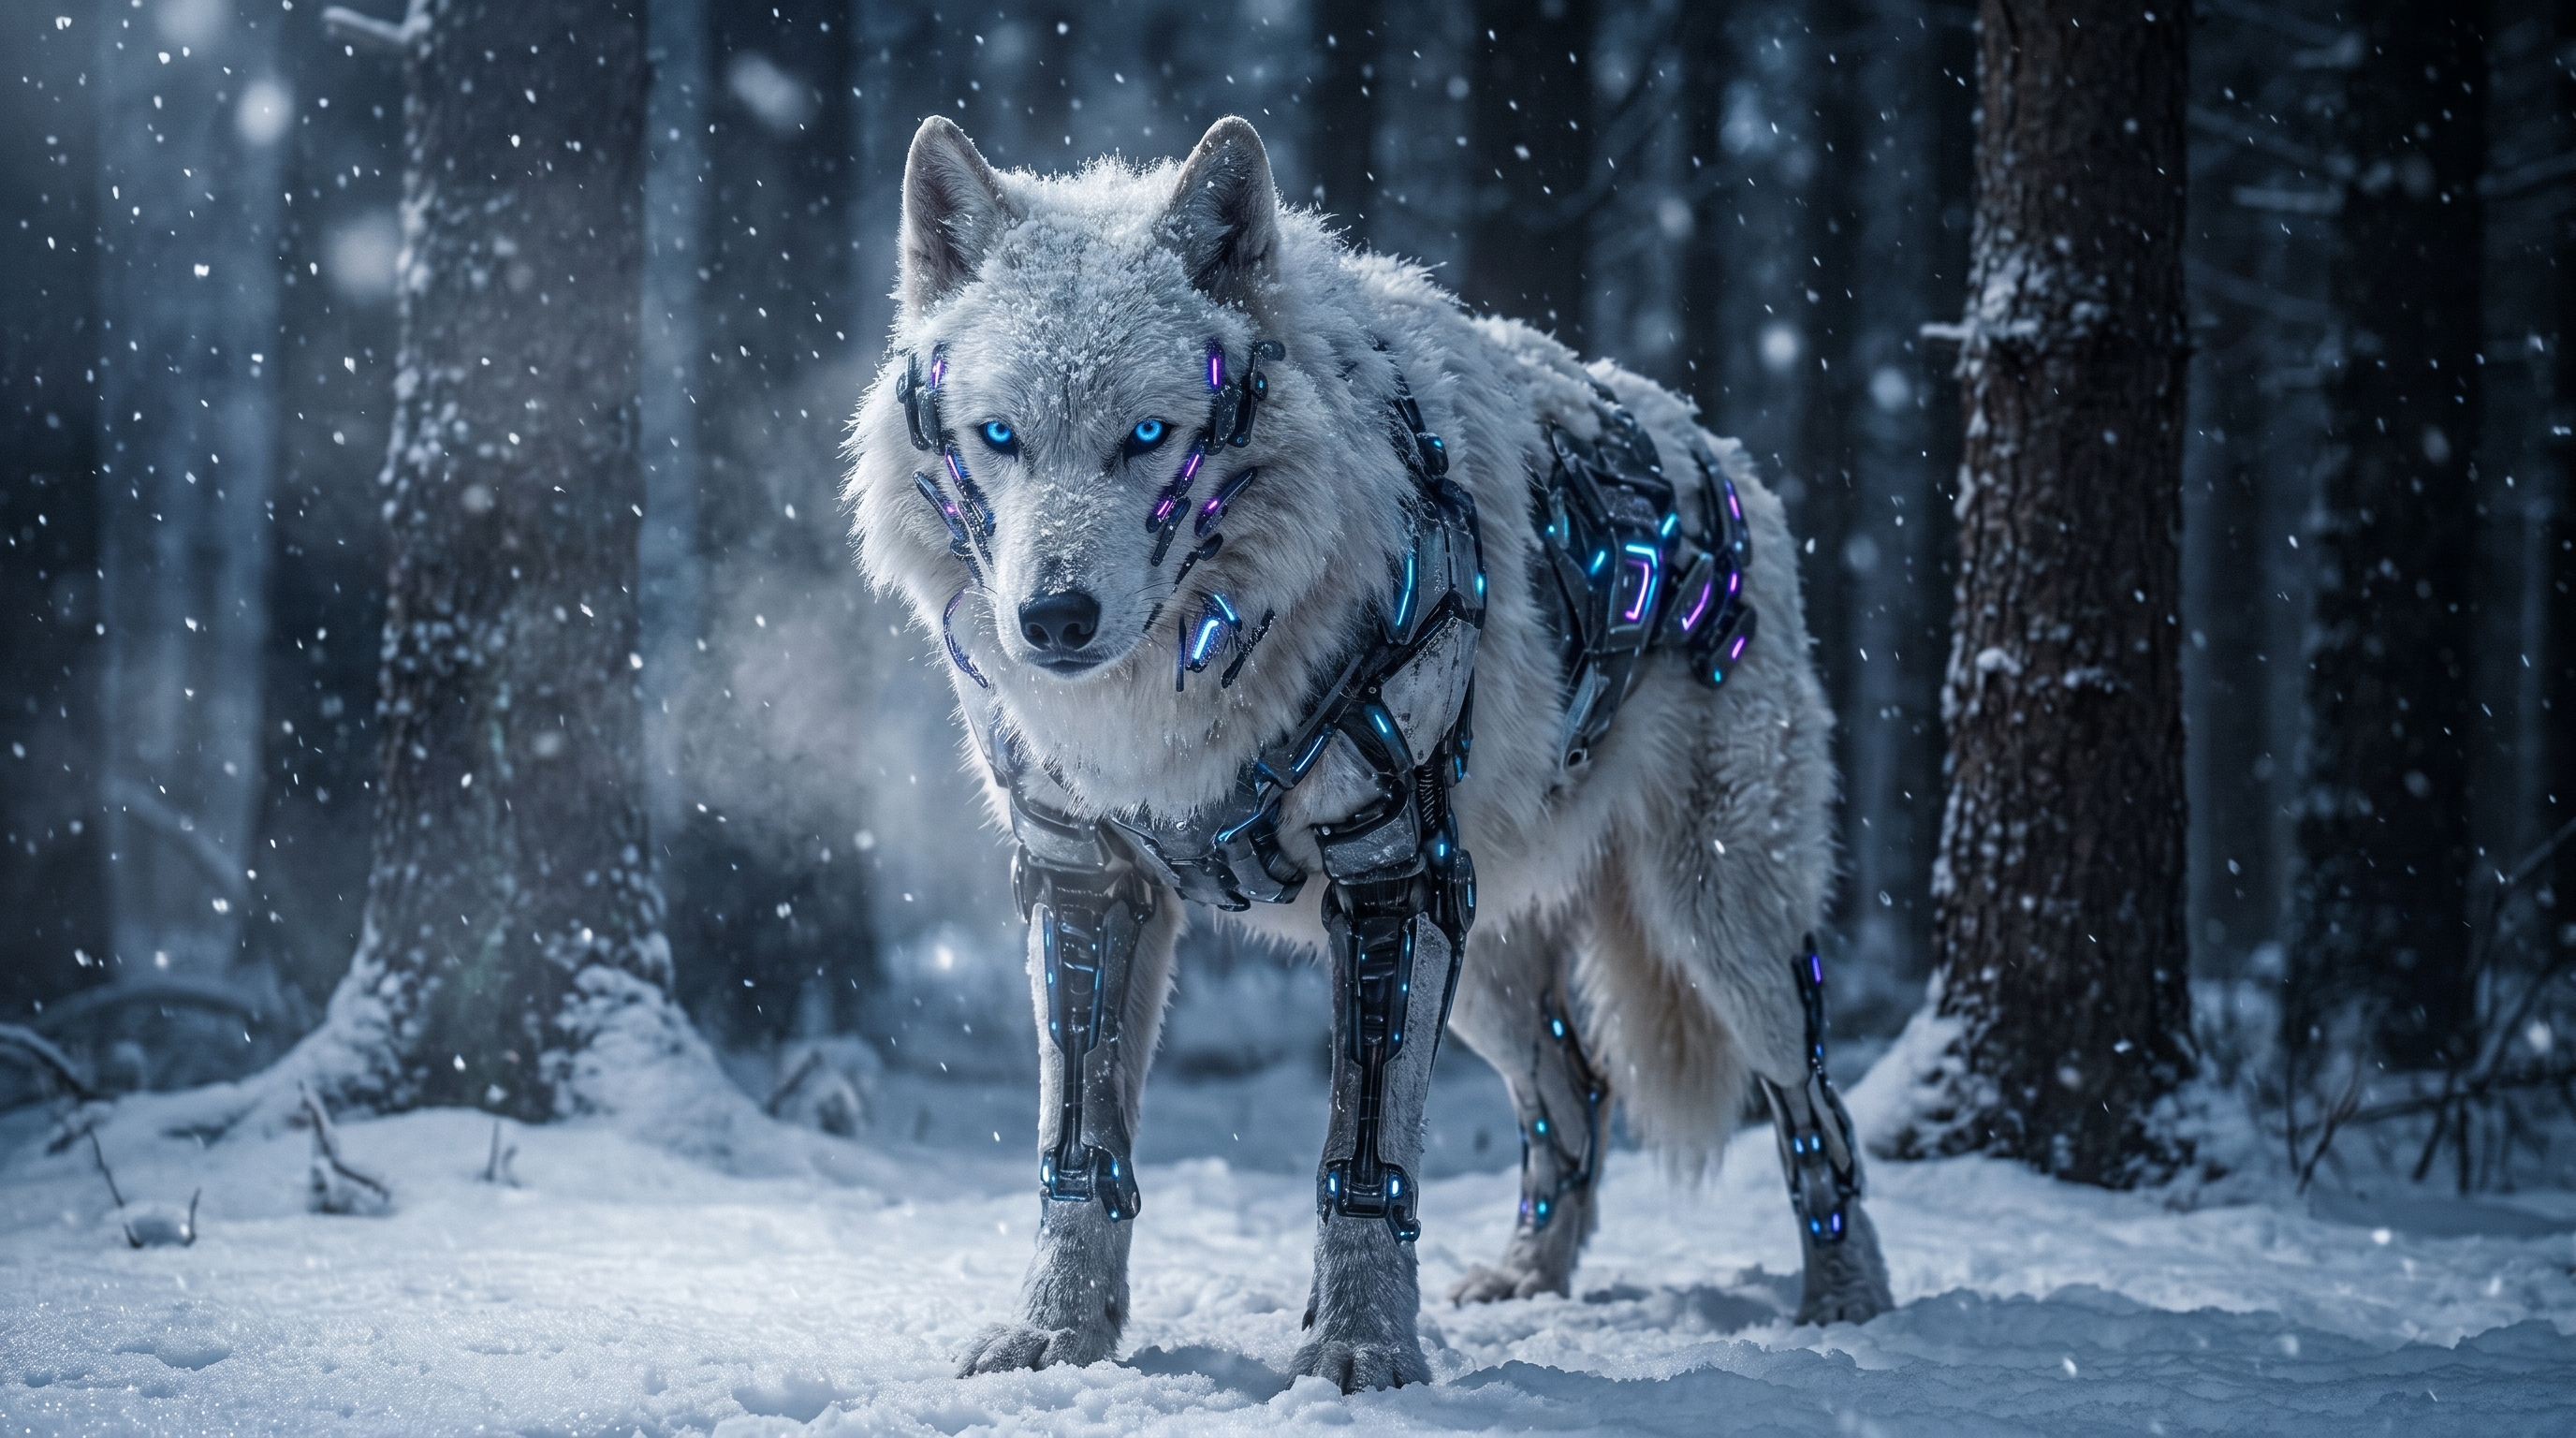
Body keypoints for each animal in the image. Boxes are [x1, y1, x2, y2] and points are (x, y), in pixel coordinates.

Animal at [842, 114, 1893, 1392]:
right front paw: (1056, 1337)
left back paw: (1849, 1301)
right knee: (1578, 1099)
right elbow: (1077, 1161)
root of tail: (1720, 450)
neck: (1184, 702)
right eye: (998, 436)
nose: (1052, 620)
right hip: (1487, 950)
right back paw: (1527, 1281)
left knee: (1815, 1108)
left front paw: (1356, 1352)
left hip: (1710, 925)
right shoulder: (1085, 882)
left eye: (1148, 436)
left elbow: (1360, 1165)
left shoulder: (1387, 878)